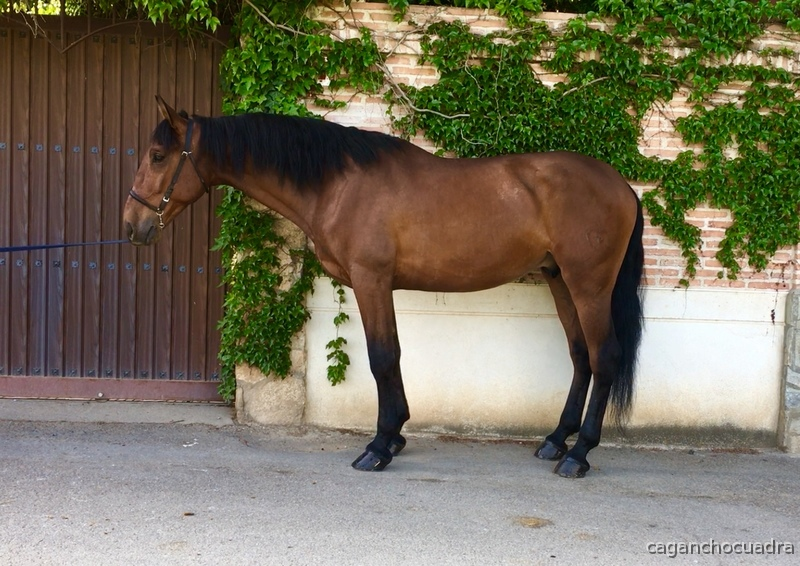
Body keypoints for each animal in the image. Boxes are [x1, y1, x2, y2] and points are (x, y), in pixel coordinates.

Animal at [124, 95, 644, 478]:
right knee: (580, 356)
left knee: (604, 357)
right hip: (561, 282)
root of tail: (622, 186)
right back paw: (556, 441)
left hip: (589, 285)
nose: (132, 225)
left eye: (158, 156)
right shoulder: (380, 285)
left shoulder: (370, 280)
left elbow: (381, 357)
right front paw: (395, 435)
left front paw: (378, 446)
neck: (338, 184)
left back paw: (578, 455)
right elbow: (391, 356)